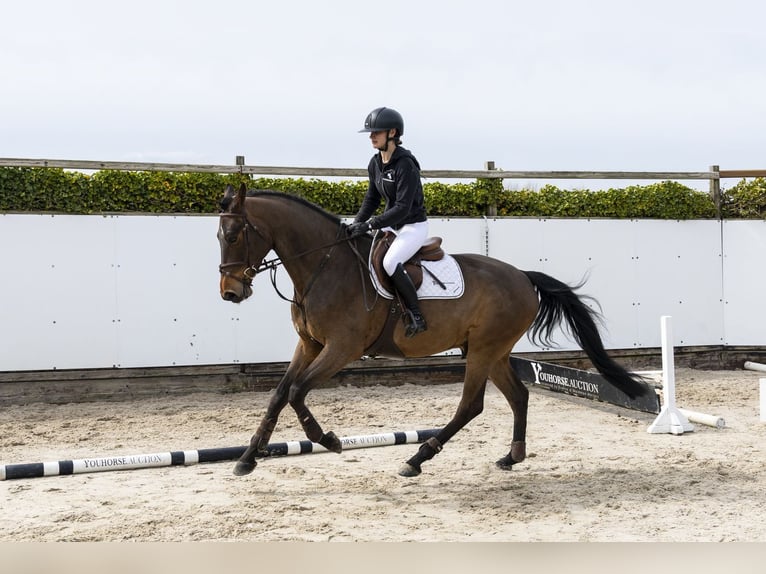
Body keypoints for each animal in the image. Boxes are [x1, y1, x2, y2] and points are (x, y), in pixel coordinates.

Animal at [217, 183, 651, 477]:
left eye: (234, 235)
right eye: (220, 236)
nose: (230, 292)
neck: (324, 266)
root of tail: (524, 277)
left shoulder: (341, 348)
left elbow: (296, 391)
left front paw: (331, 441)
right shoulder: (309, 344)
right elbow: (279, 395)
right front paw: (247, 459)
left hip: (483, 350)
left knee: (470, 406)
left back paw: (417, 458)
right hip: (488, 350)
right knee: (518, 396)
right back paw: (510, 456)